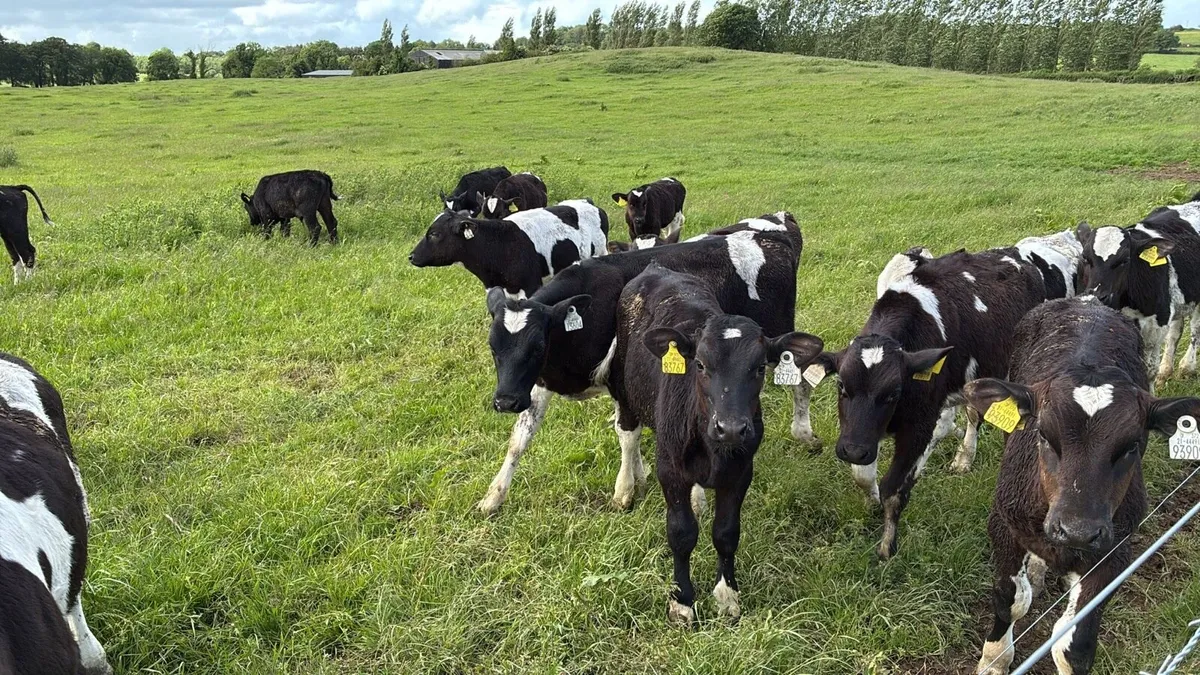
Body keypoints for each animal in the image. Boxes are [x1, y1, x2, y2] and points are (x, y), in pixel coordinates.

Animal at [478, 218, 811, 516]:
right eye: (493, 347)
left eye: (537, 346)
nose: (506, 401)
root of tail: (769, 237)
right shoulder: (538, 383)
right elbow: (519, 440)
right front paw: (493, 497)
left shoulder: (621, 379)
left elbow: (627, 432)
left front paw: (627, 489)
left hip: (780, 339)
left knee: (802, 380)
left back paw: (804, 432)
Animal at [610, 263, 823, 624]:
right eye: (700, 364)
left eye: (760, 368)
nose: (732, 428)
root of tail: (656, 267)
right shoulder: (670, 469)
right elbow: (681, 533)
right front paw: (683, 600)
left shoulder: (741, 471)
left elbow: (726, 533)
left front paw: (727, 596)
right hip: (625, 386)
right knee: (628, 434)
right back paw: (624, 488)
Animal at [815, 248, 1047, 559]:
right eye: (841, 386)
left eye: (893, 393)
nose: (852, 450)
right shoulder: (860, 433)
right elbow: (863, 475)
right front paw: (871, 502)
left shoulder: (917, 427)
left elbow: (894, 488)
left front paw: (887, 547)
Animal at [962, 297, 1200, 675]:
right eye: (1043, 434)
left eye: (1132, 445)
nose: (1077, 531)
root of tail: (1088, 301)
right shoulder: (1002, 525)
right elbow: (1011, 599)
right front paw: (994, 659)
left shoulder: (1116, 548)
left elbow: (1075, 643)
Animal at [1077, 193, 1200, 390]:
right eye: (1085, 258)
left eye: (1125, 260)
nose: (1099, 295)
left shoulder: (1156, 325)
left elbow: (1149, 370)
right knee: (1175, 331)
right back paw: (1166, 370)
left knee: (1195, 328)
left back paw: (1187, 366)